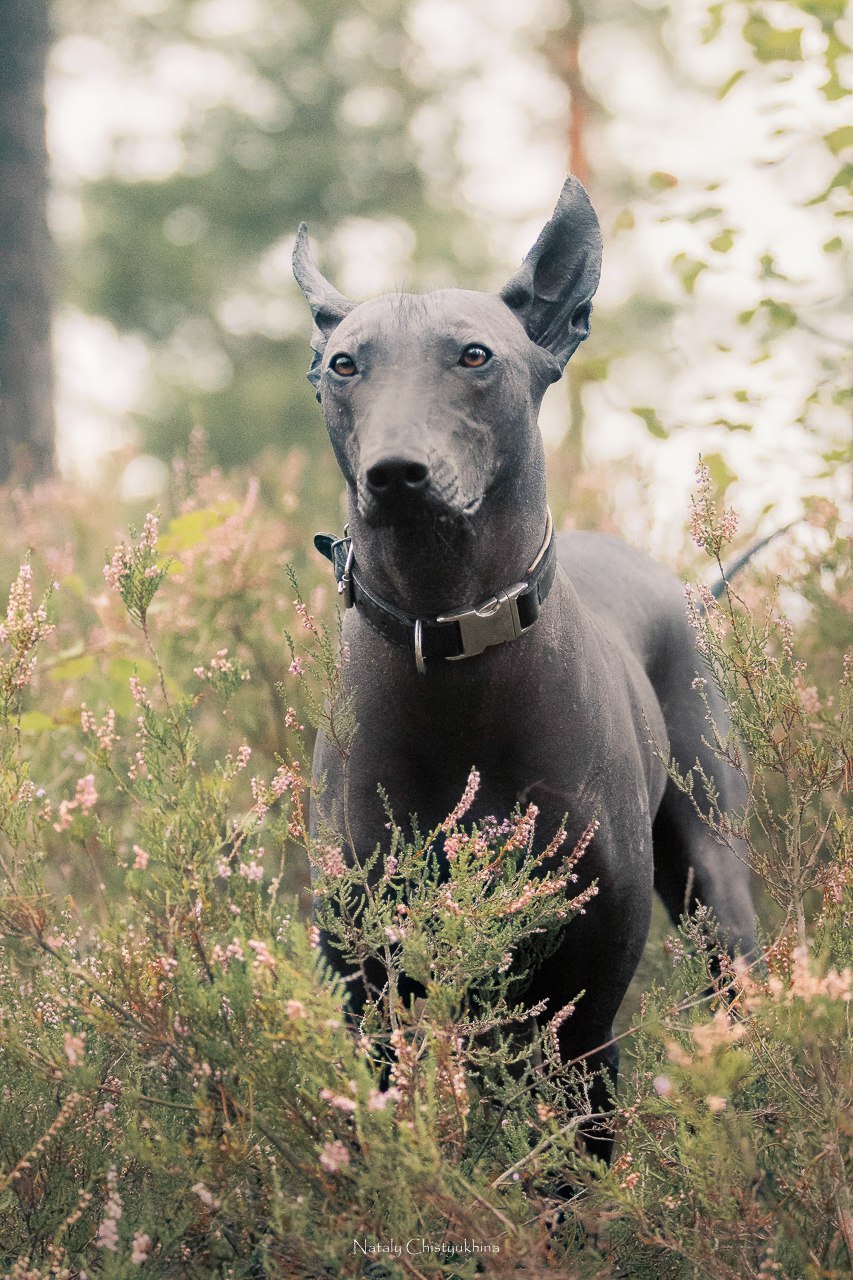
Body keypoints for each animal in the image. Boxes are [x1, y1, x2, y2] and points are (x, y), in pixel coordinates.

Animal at [290, 177, 753, 1162]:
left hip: (712, 884)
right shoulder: (366, 991)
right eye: (344, 365)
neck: (451, 645)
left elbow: (579, 1151)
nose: (396, 473)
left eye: (475, 356)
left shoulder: (586, 998)